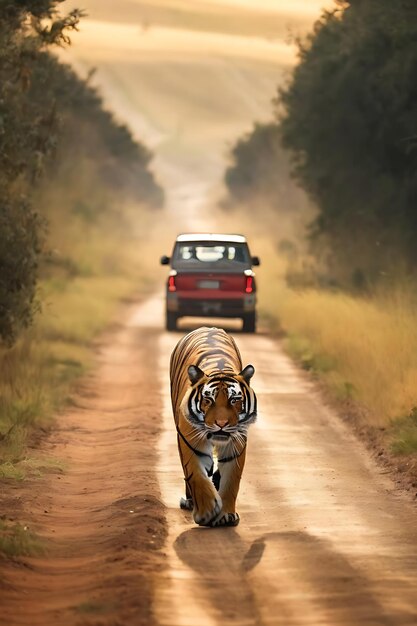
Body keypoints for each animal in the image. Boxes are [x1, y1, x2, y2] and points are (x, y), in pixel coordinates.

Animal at [169, 326, 256, 528]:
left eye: (235, 400)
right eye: (208, 400)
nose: (221, 424)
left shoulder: (236, 446)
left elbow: (231, 480)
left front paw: (226, 515)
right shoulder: (190, 441)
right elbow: (197, 475)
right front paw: (207, 512)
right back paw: (190, 501)